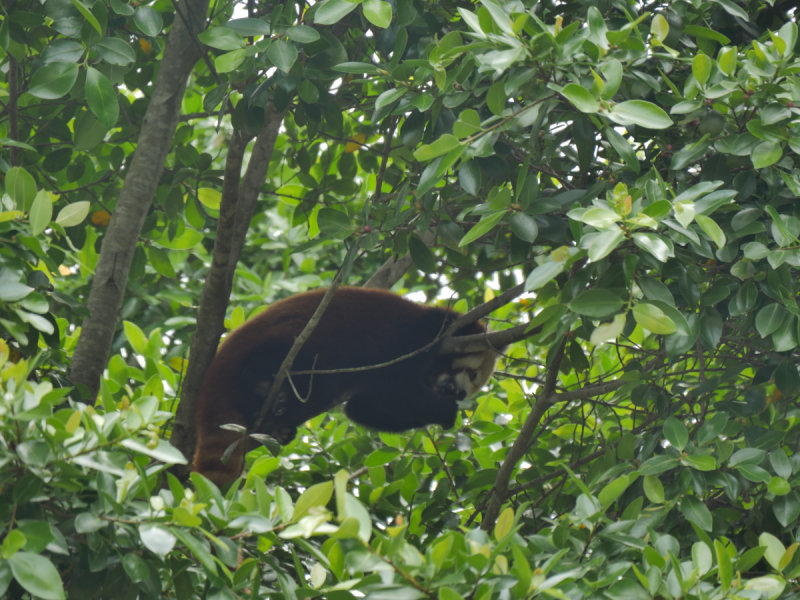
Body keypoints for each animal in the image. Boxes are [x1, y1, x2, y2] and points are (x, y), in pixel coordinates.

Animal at [194, 288, 500, 488]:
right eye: (472, 373)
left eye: (473, 385)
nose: (460, 394)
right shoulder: (413, 340)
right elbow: (392, 389)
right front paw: (447, 412)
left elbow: (364, 408)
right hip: (288, 341)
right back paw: (261, 383)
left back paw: (278, 424)